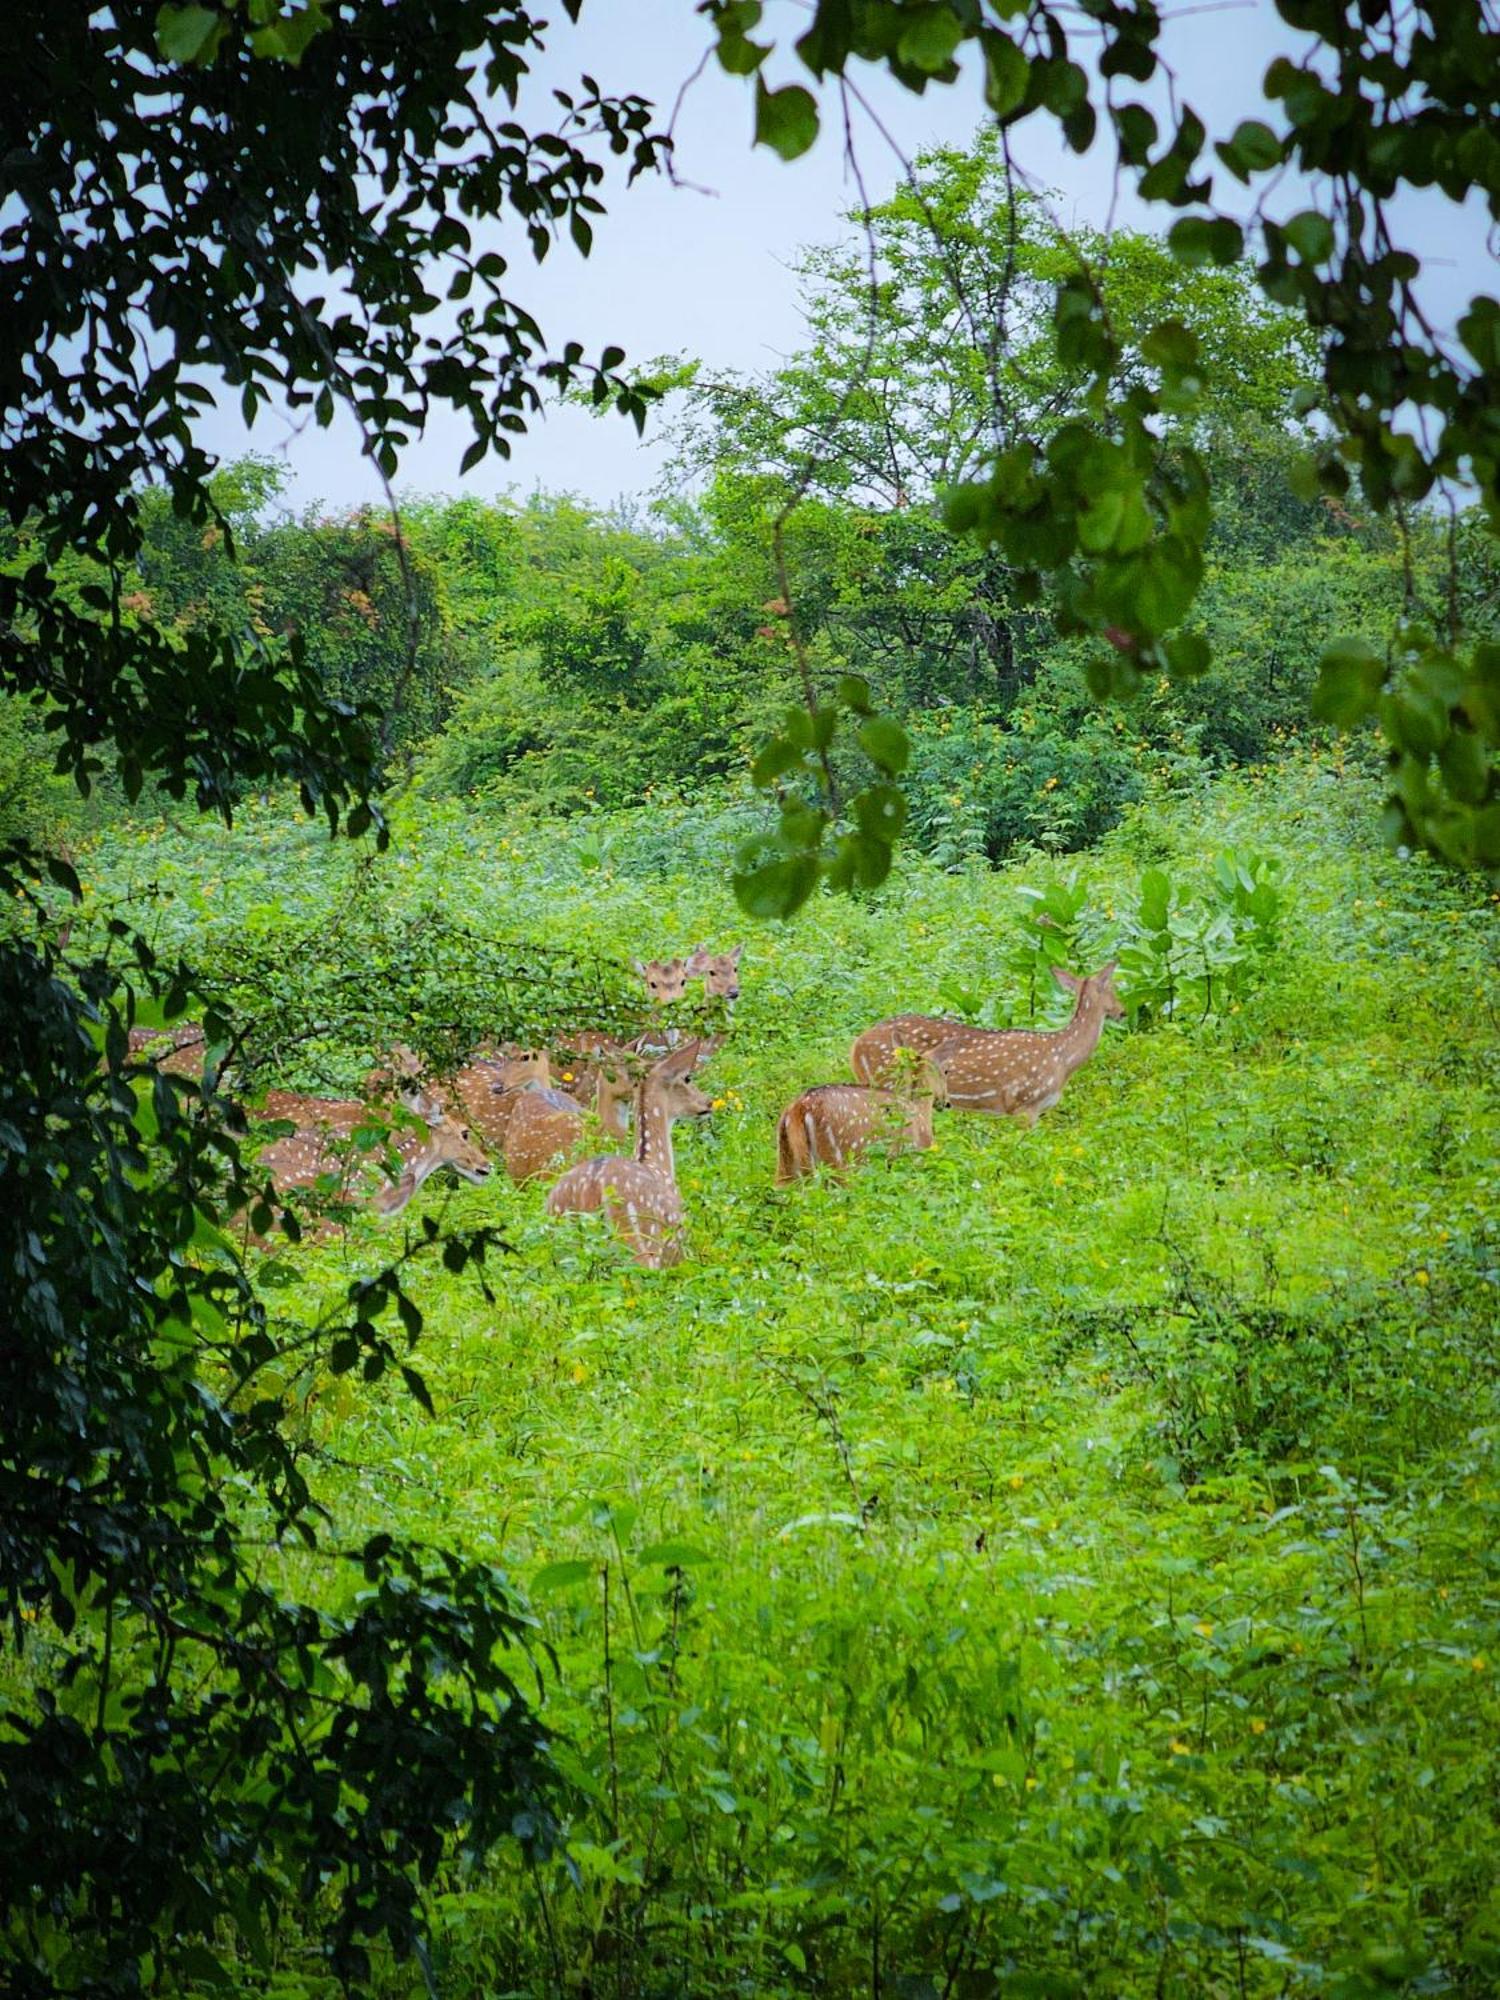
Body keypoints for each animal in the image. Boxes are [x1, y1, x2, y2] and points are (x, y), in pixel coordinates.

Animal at [780, 1056, 944, 1176]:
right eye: (944, 1072)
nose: (944, 1102)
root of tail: (801, 1107)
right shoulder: (915, 1154)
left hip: (787, 1161)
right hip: (843, 1159)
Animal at [852, 956, 1120, 1120]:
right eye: (1114, 988)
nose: (1122, 1011)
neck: (1062, 1058)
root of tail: (856, 1046)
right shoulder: (1023, 1103)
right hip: (888, 1081)